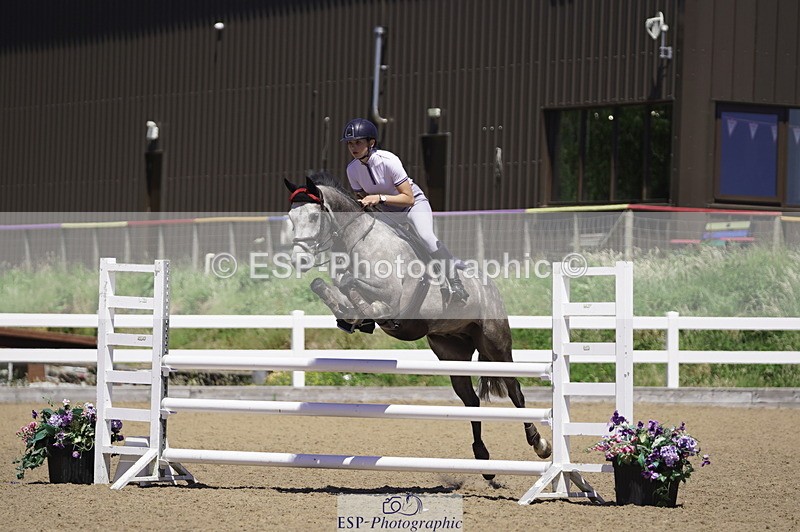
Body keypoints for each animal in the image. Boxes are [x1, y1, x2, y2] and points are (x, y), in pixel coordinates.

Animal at [283, 172, 552, 478]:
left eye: (314, 217)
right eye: (291, 218)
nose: (299, 260)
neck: (358, 242)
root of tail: (491, 287)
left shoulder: (392, 297)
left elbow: (354, 286)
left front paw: (363, 311)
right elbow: (329, 287)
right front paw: (352, 317)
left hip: (496, 345)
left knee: (515, 391)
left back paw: (539, 444)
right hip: (452, 353)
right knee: (471, 402)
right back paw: (483, 460)